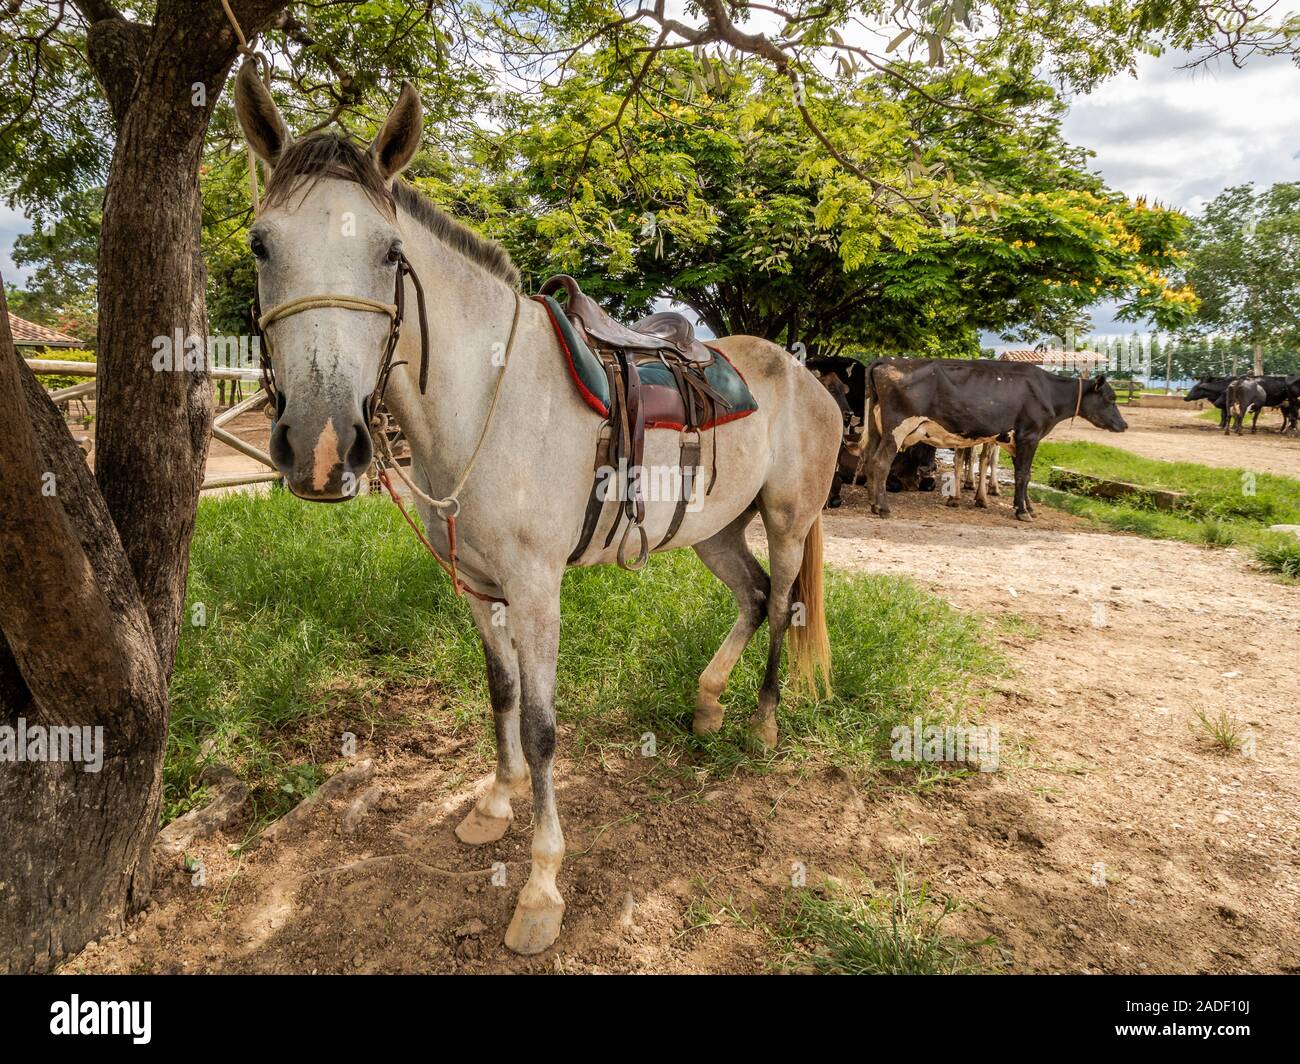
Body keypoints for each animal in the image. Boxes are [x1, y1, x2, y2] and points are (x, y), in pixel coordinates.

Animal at [233, 67, 842, 955]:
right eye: (261, 244)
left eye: (389, 253)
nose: (319, 444)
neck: (487, 394)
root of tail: (806, 376)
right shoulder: (476, 584)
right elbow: (501, 693)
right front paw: (494, 802)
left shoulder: (535, 588)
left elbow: (545, 725)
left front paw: (542, 889)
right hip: (715, 529)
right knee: (756, 596)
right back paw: (706, 705)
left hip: (789, 520)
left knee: (788, 603)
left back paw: (762, 725)